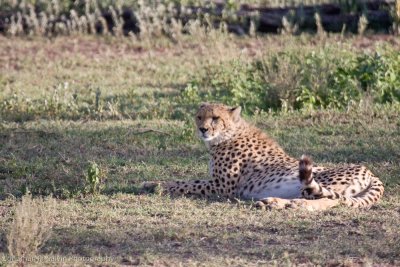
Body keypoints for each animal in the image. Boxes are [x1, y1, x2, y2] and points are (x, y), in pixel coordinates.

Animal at [151, 103, 384, 210]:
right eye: (199, 117)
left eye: (215, 118)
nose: (203, 129)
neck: (230, 133)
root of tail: (370, 171)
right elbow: (187, 181)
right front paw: (153, 183)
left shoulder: (222, 187)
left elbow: (186, 183)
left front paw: (154, 185)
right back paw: (273, 202)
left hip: (316, 181)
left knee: (329, 200)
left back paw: (290, 204)